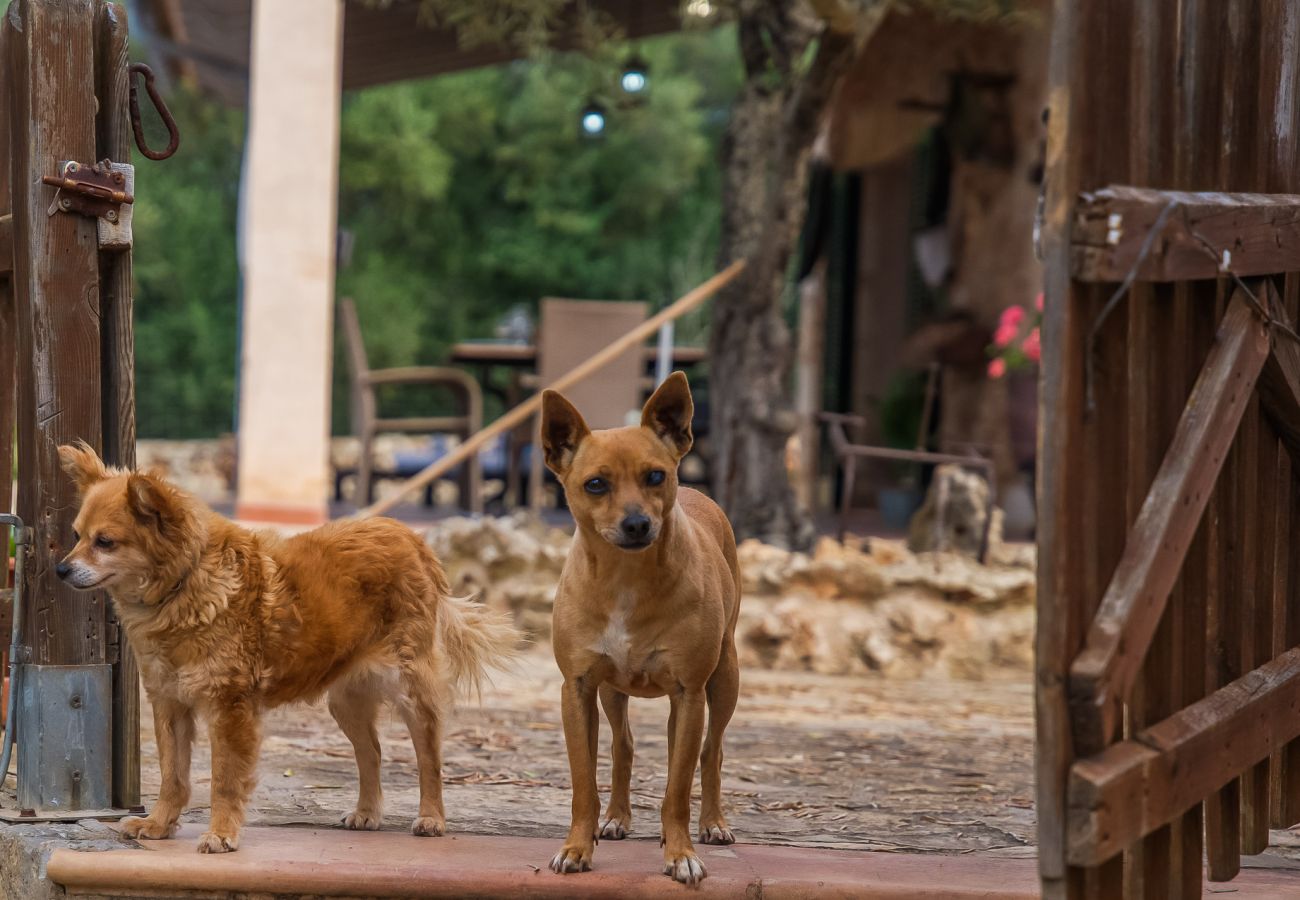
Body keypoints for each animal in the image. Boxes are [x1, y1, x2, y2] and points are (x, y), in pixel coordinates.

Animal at [54, 447, 522, 853]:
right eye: (76, 536)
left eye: (105, 542)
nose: (59, 569)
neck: (183, 587)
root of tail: (411, 537)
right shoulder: (170, 706)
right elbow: (173, 775)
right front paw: (159, 825)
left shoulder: (230, 710)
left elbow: (224, 780)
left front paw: (221, 834)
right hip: (345, 702)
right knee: (371, 752)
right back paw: (367, 812)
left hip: (411, 691)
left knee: (429, 759)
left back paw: (431, 817)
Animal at [540, 371, 743, 884]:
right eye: (595, 484)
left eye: (655, 476)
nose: (637, 523)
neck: (625, 580)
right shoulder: (577, 688)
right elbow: (583, 782)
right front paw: (577, 846)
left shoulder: (690, 692)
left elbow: (678, 787)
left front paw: (680, 853)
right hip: (613, 692)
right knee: (624, 745)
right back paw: (617, 817)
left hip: (723, 679)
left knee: (708, 753)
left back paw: (712, 823)